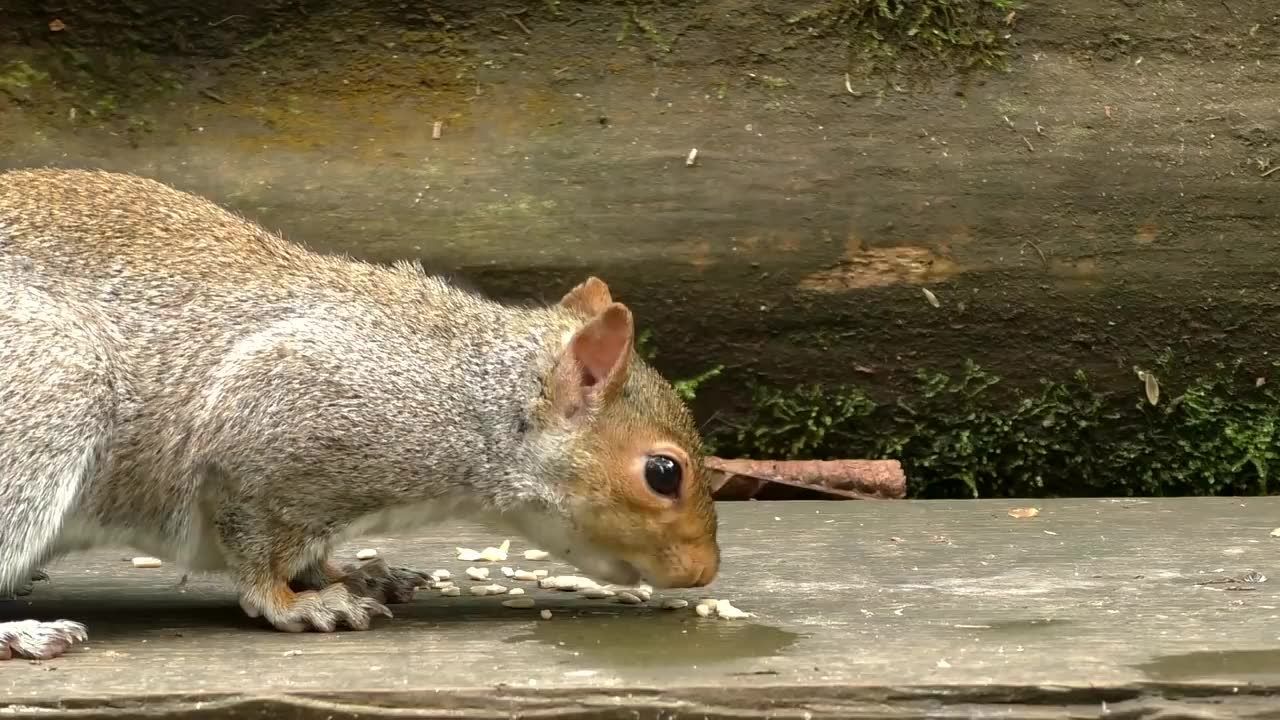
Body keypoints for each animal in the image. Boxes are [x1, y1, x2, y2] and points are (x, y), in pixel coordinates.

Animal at [0, 166, 721, 655]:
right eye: (664, 473)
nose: (704, 571)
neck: (467, 396)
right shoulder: (272, 421)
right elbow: (256, 551)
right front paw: (298, 605)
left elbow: (311, 551)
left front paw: (358, 572)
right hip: (50, 390)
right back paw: (23, 633)